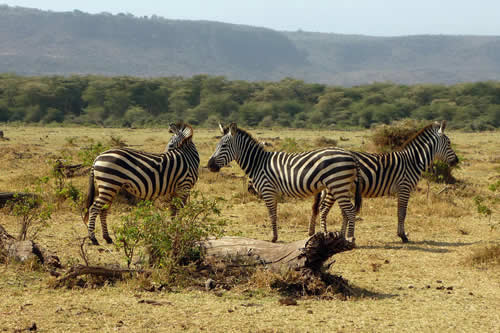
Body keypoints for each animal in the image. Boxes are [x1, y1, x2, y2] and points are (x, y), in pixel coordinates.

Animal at [205, 122, 362, 241]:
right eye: (216, 145)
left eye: (223, 146)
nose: (209, 165)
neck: (258, 163)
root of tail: (351, 155)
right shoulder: (273, 192)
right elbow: (274, 213)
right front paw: (275, 236)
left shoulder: (267, 190)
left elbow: (272, 214)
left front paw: (273, 238)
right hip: (340, 187)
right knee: (345, 211)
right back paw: (342, 236)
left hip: (337, 185)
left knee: (350, 210)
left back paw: (350, 238)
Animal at [306, 120, 458, 243]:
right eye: (449, 143)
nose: (456, 161)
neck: (412, 161)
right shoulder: (404, 187)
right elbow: (402, 212)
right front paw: (403, 236)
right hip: (335, 187)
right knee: (324, 209)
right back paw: (325, 235)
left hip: (332, 188)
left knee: (322, 209)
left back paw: (317, 234)